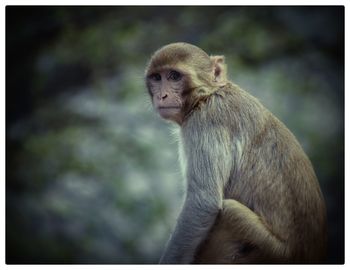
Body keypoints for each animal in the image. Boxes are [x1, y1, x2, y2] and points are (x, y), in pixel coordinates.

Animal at [144, 42, 326, 264]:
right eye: (156, 78)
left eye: (174, 76)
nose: (162, 95)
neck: (208, 94)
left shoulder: (205, 122)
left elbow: (203, 201)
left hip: (271, 250)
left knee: (230, 211)